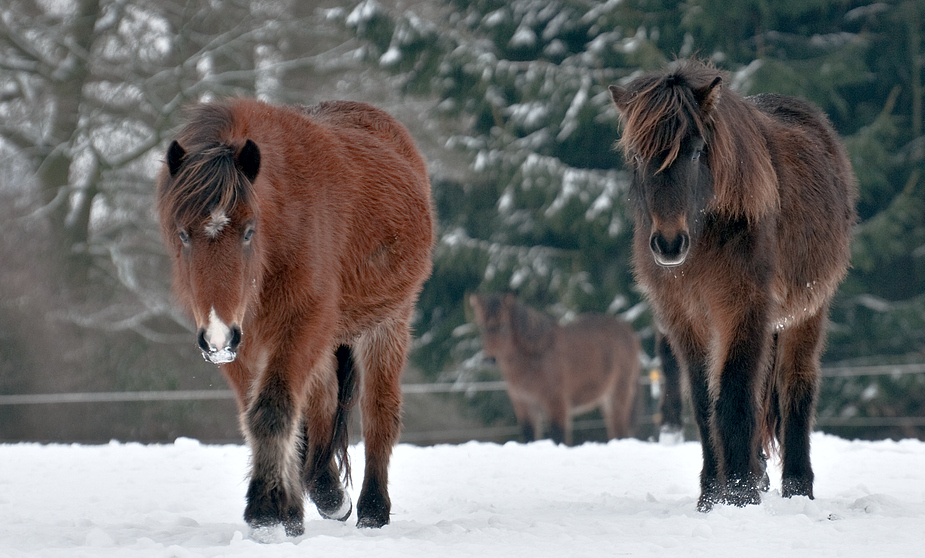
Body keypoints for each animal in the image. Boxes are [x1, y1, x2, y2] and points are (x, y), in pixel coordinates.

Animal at [156, 98, 434, 540]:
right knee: (321, 406)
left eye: (249, 231)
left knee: (379, 412)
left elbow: (272, 411)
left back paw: (372, 510)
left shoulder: (301, 324)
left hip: (386, 324)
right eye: (183, 234)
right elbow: (266, 415)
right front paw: (288, 513)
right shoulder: (245, 344)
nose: (216, 336)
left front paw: (265, 513)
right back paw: (326, 492)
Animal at [472, 294, 640, 446]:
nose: (489, 359)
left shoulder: (556, 403)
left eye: (504, 326)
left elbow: (559, 437)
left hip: (619, 394)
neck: (536, 357)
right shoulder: (523, 405)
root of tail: (628, 331)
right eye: (481, 327)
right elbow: (529, 438)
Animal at [608, 60, 856, 512]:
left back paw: (797, 487)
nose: (669, 243)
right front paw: (712, 494)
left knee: (795, 387)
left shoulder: (743, 308)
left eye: (694, 151)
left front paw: (738, 494)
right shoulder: (685, 318)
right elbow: (705, 401)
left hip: (806, 313)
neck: (707, 234)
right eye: (636, 155)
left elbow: (735, 397)